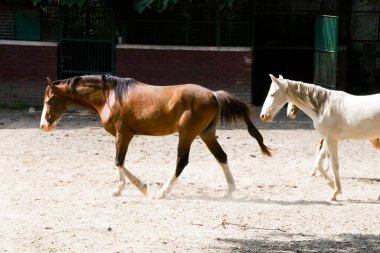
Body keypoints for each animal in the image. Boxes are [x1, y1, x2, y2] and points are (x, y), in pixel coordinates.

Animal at [40, 74, 270, 198]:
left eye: (49, 100)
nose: (44, 125)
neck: (110, 97)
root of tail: (213, 94)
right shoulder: (120, 136)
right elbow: (119, 162)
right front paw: (120, 189)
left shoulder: (124, 135)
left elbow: (119, 161)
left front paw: (140, 187)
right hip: (207, 134)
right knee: (221, 157)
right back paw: (230, 191)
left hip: (187, 134)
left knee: (181, 161)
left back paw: (163, 192)